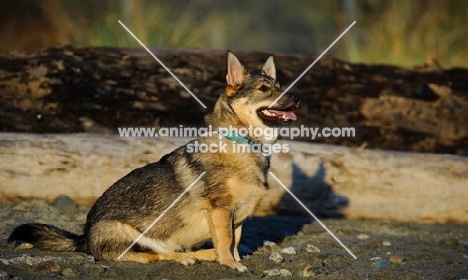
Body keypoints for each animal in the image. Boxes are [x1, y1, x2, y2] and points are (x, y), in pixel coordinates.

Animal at [7, 51, 300, 272]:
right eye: (264, 89)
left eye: (281, 87)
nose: (297, 97)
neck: (244, 143)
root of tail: (84, 238)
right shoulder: (220, 210)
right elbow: (226, 241)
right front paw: (231, 264)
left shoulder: (236, 216)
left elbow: (234, 242)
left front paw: (232, 260)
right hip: (130, 234)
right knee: (150, 255)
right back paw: (186, 258)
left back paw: (203, 254)